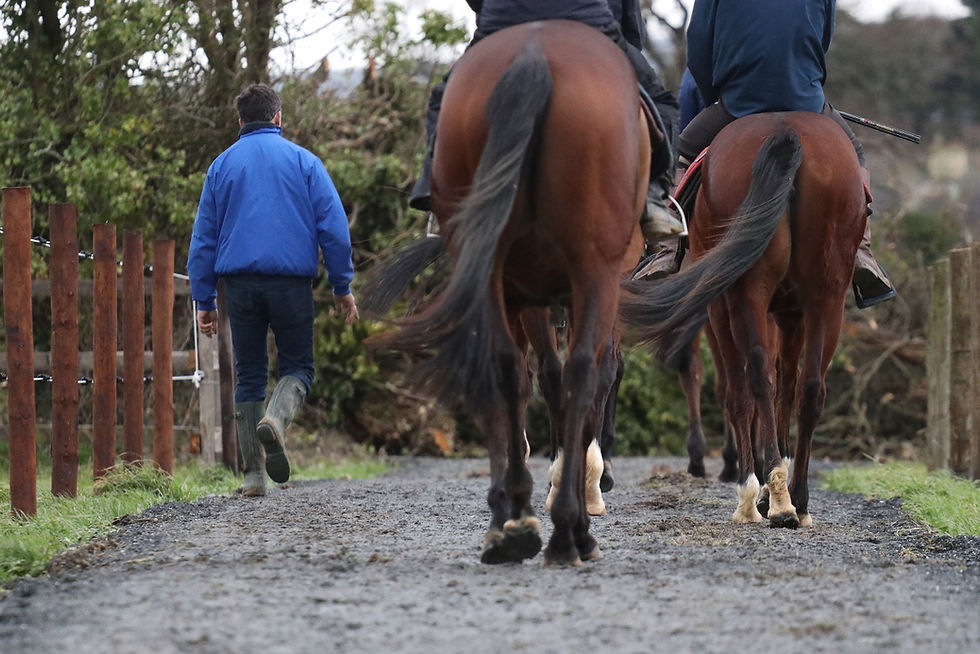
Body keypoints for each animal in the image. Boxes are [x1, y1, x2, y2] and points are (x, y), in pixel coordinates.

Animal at [365, 20, 656, 566]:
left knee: (508, 371)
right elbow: (589, 376)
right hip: (588, 271)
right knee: (577, 373)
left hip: (502, 269)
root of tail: (532, 55)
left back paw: (513, 521)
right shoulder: (595, 284)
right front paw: (579, 491)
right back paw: (567, 529)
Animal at [628, 112, 867, 528]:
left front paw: (751, 486)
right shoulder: (790, 312)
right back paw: (796, 498)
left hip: (744, 293)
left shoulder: (721, 306)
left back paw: (769, 494)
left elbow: (735, 390)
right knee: (808, 387)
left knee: (750, 379)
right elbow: (784, 385)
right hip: (828, 294)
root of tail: (785, 130)